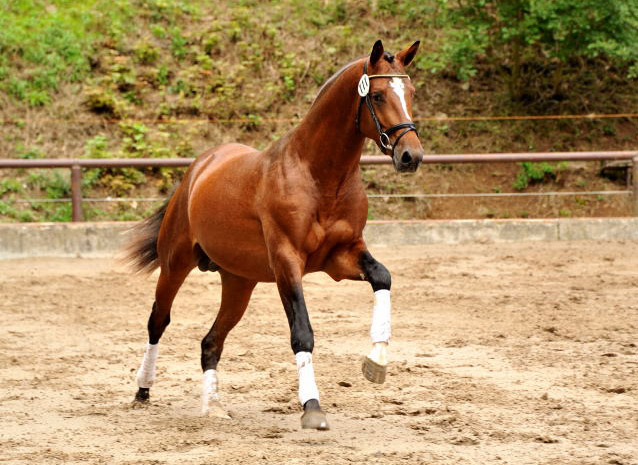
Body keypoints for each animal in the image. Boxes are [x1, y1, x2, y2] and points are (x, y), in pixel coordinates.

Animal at [126, 38, 424, 430]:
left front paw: (376, 362)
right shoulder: (287, 262)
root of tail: (199, 167)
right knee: (158, 321)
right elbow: (302, 332)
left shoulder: (342, 255)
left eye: (411, 92)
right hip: (176, 263)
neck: (319, 176)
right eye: (376, 96)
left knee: (211, 343)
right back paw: (143, 390)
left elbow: (383, 277)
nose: (411, 156)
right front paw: (312, 406)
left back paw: (213, 406)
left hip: (239, 282)